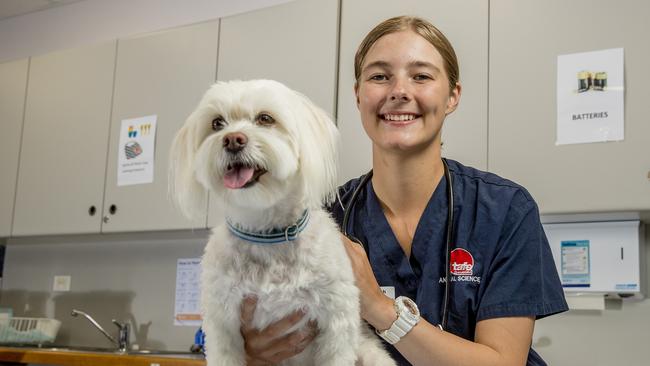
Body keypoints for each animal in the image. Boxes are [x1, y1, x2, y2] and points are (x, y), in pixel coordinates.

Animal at [170, 81, 392, 366]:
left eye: (265, 118)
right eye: (217, 123)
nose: (232, 139)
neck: (267, 234)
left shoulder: (337, 321)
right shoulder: (223, 326)